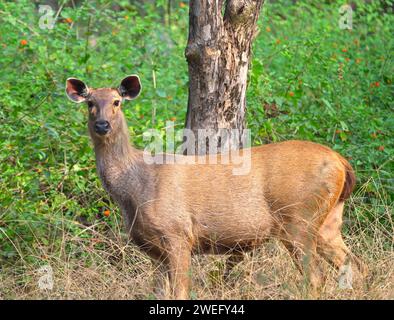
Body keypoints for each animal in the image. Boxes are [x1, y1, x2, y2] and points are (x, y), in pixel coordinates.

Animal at [65, 75, 366, 300]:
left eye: (117, 102)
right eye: (90, 103)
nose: (102, 124)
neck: (134, 188)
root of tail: (342, 163)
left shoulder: (177, 233)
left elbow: (180, 293)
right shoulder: (153, 250)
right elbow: (159, 293)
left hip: (297, 218)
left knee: (315, 277)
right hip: (328, 220)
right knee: (354, 265)